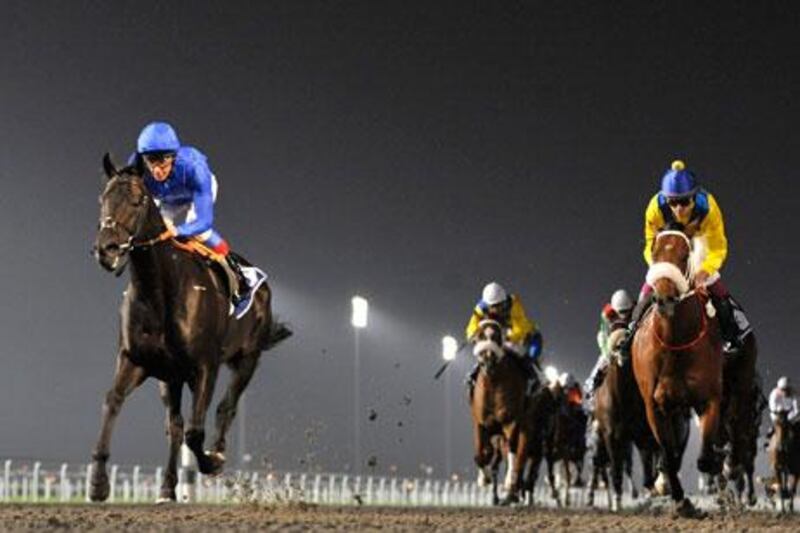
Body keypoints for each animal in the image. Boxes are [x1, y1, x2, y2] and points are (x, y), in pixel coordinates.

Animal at [90, 152, 290, 500]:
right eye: (104, 198)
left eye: (137, 200)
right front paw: (99, 482)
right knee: (175, 425)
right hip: (170, 377)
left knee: (225, 408)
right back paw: (168, 488)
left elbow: (198, 431)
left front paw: (211, 461)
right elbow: (113, 400)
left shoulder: (205, 366)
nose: (108, 248)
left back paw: (216, 453)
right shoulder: (136, 360)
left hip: (248, 358)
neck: (158, 291)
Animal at [472, 318, 536, 504]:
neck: (493, 384)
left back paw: (512, 489)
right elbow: (480, 454)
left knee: (519, 453)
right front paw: (484, 478)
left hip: (525, 427)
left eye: (496, 337)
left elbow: (513, 450)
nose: (487, 362)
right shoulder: (480, 423)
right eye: (479, 337)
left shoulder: (511, 422)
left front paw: (509, 483)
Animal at [632, 229, 724, 516]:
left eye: (685, 255)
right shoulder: (654, 406)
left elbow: (704, 458)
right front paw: (679, 498)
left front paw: (715, 464)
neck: (675, 344)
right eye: (655, 251)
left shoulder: (709, 400)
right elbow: (668, 453)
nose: (664, 299)